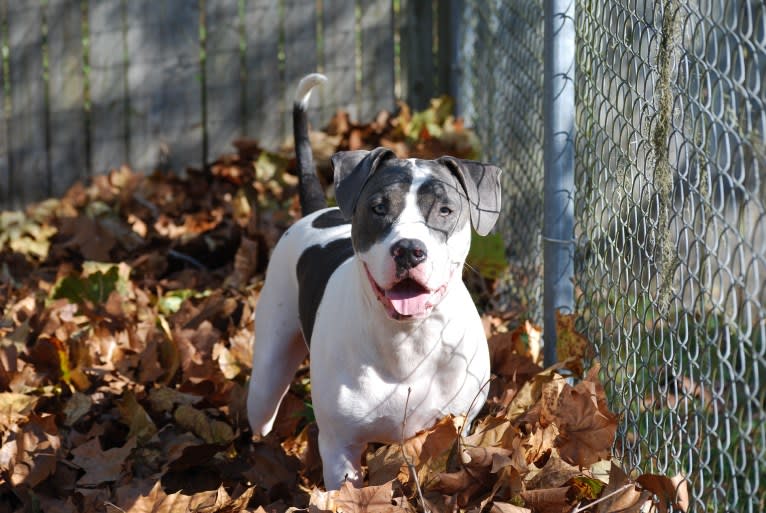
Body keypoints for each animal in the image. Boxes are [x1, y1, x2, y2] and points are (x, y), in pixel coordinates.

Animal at [246, 73, 508, 488]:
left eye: (446, 209)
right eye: (378, 207)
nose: (409, 250)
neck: (408, 342)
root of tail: (316, 212)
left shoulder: (457, 427)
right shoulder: (340, 449)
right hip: (266, 374)